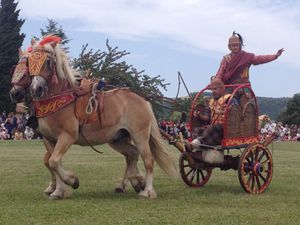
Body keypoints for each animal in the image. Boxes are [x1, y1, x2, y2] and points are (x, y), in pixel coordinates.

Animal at [27, 36, 178, 200]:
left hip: (140, 135)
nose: (36, 89)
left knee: (148, 160)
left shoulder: (67, 136)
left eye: (48, 61)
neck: (60, 99)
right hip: (118, 138)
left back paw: (148, 190)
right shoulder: (49, 139)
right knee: (132, 154)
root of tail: (144, 101)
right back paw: (131, 182)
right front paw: (58, 191)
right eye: (29, 61)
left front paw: (72, 180)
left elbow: (54, 161)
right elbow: (52, 162)